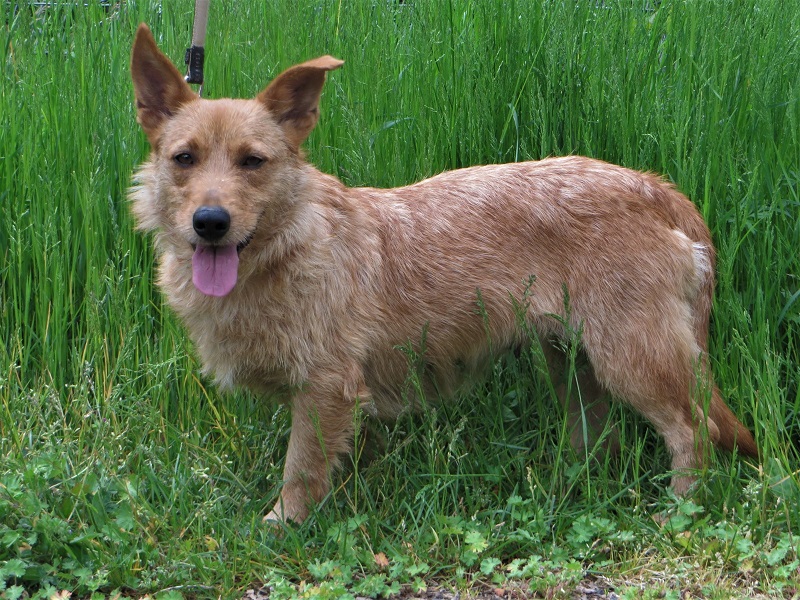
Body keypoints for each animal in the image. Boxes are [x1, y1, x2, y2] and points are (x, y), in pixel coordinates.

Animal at [129, 23, 757, 524]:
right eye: (184, 158)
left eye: (253, 161)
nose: (210, 222)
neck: (285, 247)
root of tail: (654, 189)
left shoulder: (326, 389)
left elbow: (299, 473)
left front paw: (280, 528)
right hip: (574, 363)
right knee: (599, 436)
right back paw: (568, 490)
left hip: (634, 357)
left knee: (693, 431)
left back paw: (678, 511)